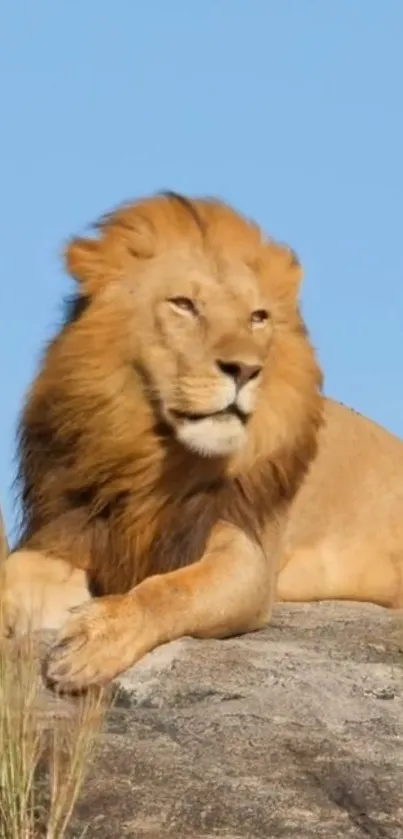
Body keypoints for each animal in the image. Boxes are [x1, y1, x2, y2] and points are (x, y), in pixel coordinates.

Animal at [2, 194, 403, 692]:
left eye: (257, 317)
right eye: (184, 305)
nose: (245, 369)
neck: (149, 455)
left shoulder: (247, 555)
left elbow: (170, 590)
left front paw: (94, 638)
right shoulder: (78, 534)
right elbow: (12, 573)